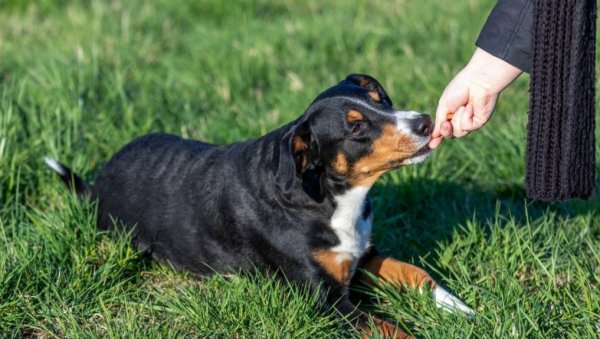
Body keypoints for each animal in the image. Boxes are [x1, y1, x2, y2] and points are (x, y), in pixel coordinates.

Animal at [45, 73, 474, 338]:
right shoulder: (326, 301)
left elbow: (417, 274)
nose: (425, 121)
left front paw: (460, 309)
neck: (327, 199)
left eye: (380, 99)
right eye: (355, 127)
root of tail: (98, 181)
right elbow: (391, 329)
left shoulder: (365, 253)